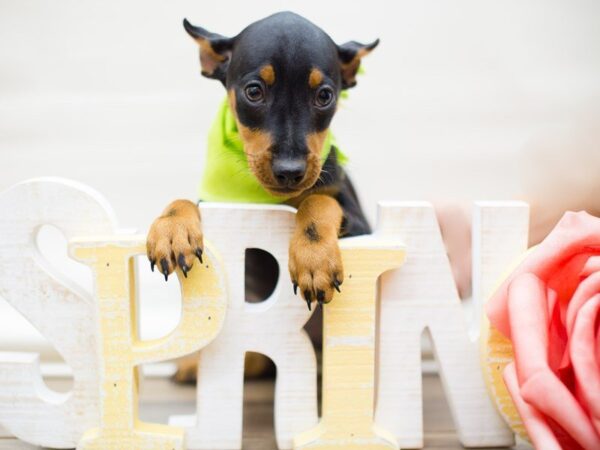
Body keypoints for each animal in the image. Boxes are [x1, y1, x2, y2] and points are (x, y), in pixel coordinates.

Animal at [148, 12, 378, 340]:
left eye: (325, 96)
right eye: (254, 92)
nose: (290, 171)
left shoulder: (362, 227)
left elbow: (319, 200)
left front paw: (314, 260)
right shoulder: (218, 201)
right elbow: (185, 201)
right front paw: (171, 230)